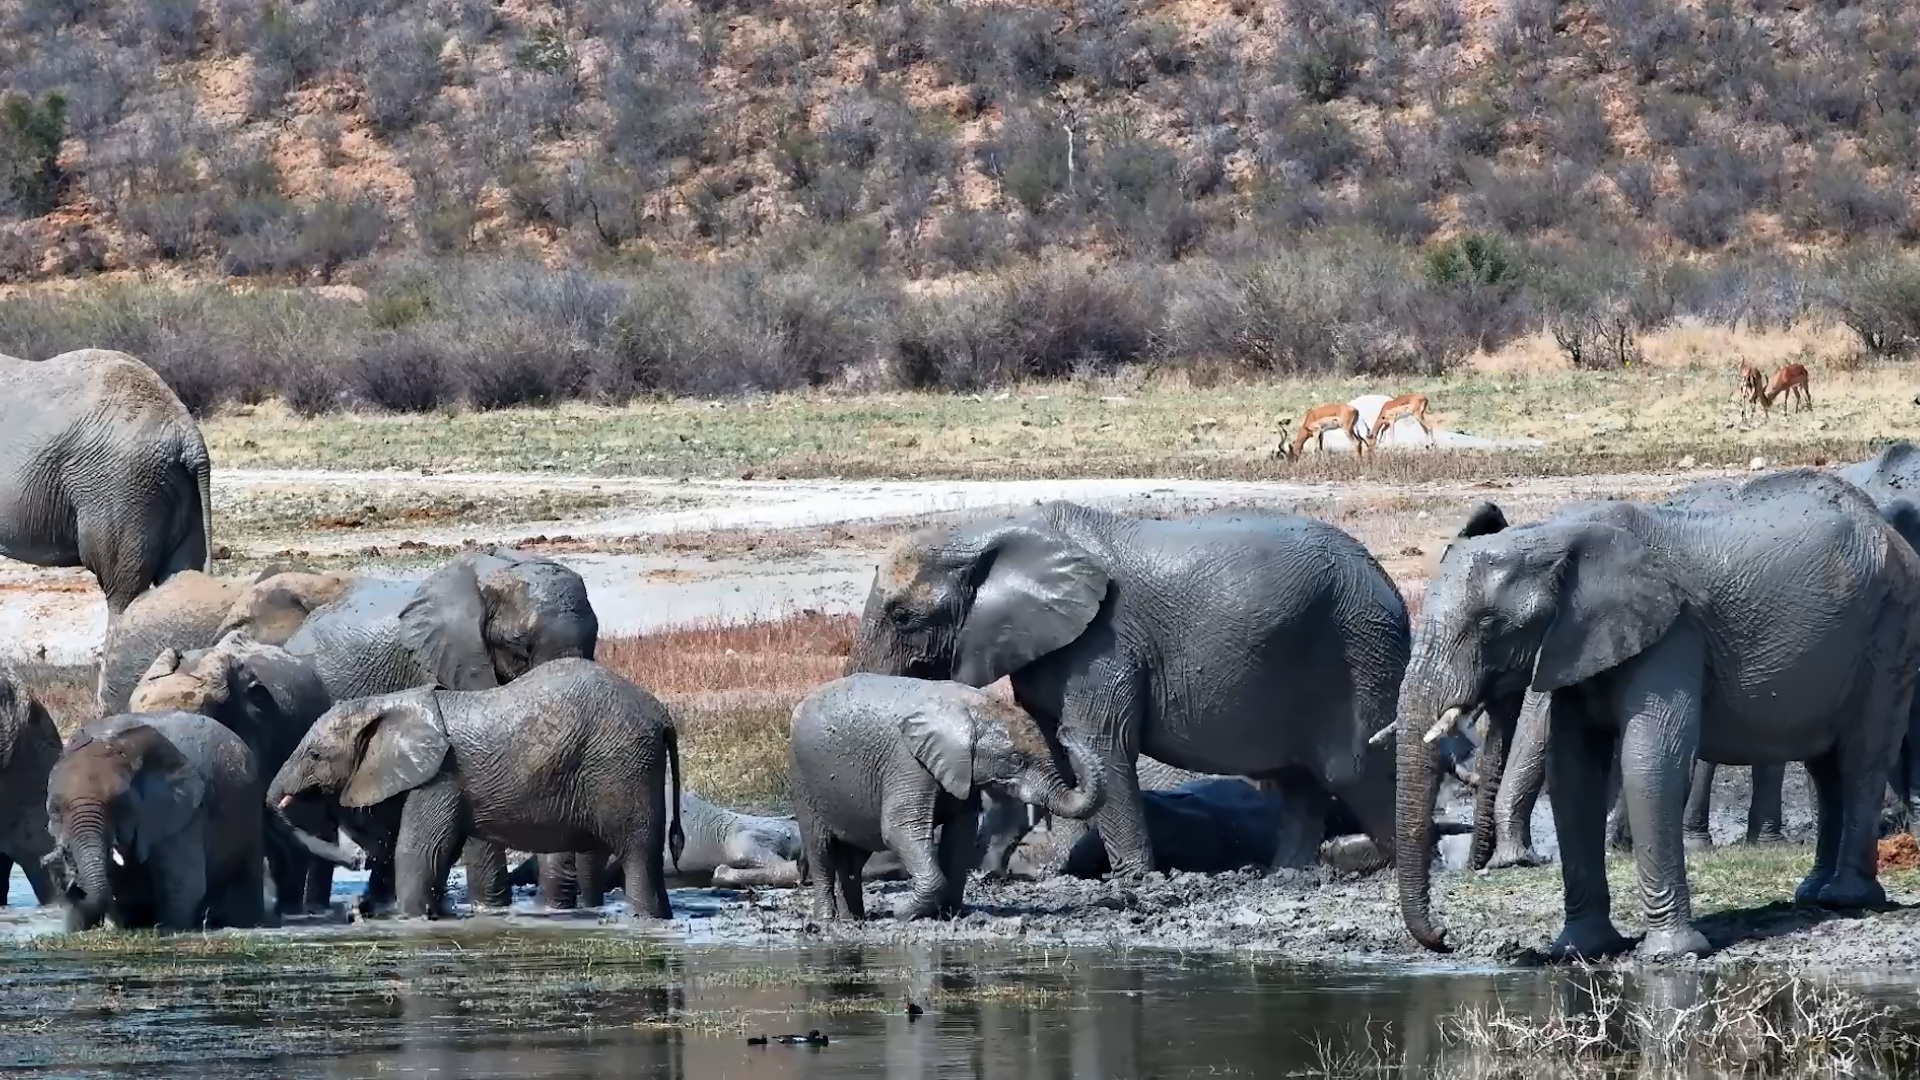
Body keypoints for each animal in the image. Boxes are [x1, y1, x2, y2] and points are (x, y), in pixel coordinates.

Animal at [267, 659, 683, 920]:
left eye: (315, 755)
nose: (356, 904)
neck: (385, 705)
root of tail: (662, 714)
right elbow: (439, 855)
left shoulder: (438, 777)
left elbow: (418, 854)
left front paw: (408, 918)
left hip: (622, 768)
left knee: (637, 856)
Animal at [788, 673, 1104, 921]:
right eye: (1017, 761)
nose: (1065, 730)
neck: (973, 706)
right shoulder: (908, 762)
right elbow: (900, 830)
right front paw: (905, 913)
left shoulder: (962, 772)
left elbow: (960, 834)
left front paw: (948, 914)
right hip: (803, 780)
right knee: (822, 852)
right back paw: (828, 922)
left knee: (853, 858)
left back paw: (854, 920)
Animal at [844, 501, 1408, 878]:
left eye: (903, 617)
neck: (988, 530)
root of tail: (1388, 583)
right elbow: (1056, 752)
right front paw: (1051, 870)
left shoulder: (1105, 641)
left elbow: (1102, 745)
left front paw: (1134, 878)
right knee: (1301, 781)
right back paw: (1285, 876)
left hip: (1360, 647)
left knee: (1355, 770)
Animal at [1398, 469, 1920, 959]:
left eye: (1489, 625)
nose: (1444, 937)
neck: (1554, 537)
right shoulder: (1575, 647)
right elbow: (1573, 773)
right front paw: (1579, 950)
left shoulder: (1673, 633)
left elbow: (1650, 763)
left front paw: (1672, 954)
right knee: (1824, 766)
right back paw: (1813, 894)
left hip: (1891, 627)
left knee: (1861, 758)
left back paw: (1846, 899)